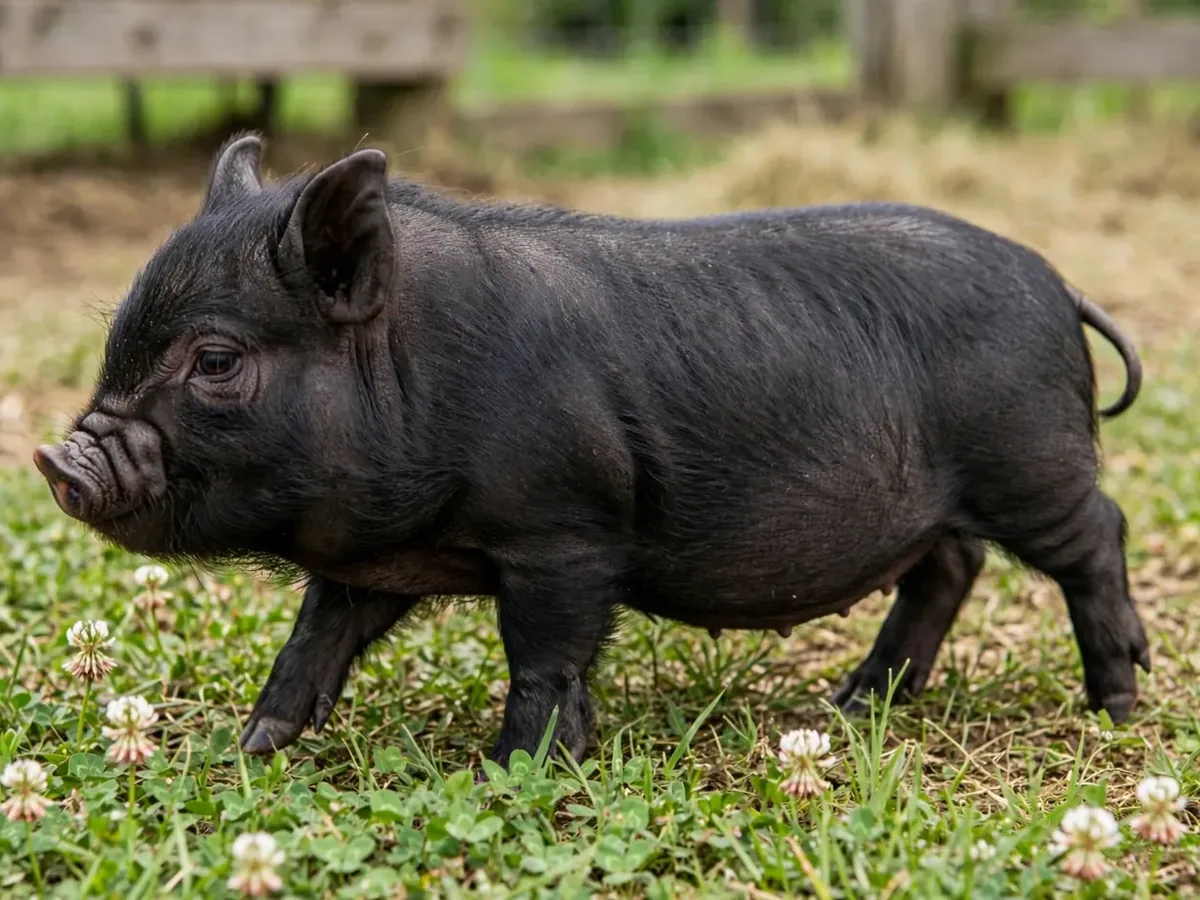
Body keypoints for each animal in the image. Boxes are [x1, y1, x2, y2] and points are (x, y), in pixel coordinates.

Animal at [33, 133, 1150, 765]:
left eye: (216, 360)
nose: (58, 461)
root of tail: (1060, 285)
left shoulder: (564, 530)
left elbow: (543, 656)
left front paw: (511, 770)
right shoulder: (368, 557)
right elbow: (312, 644)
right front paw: (251, 748)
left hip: (1031, 458)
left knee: (1098, 532)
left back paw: (1121, 704)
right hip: (946, 499)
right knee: (948, 567)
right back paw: (855, 704)